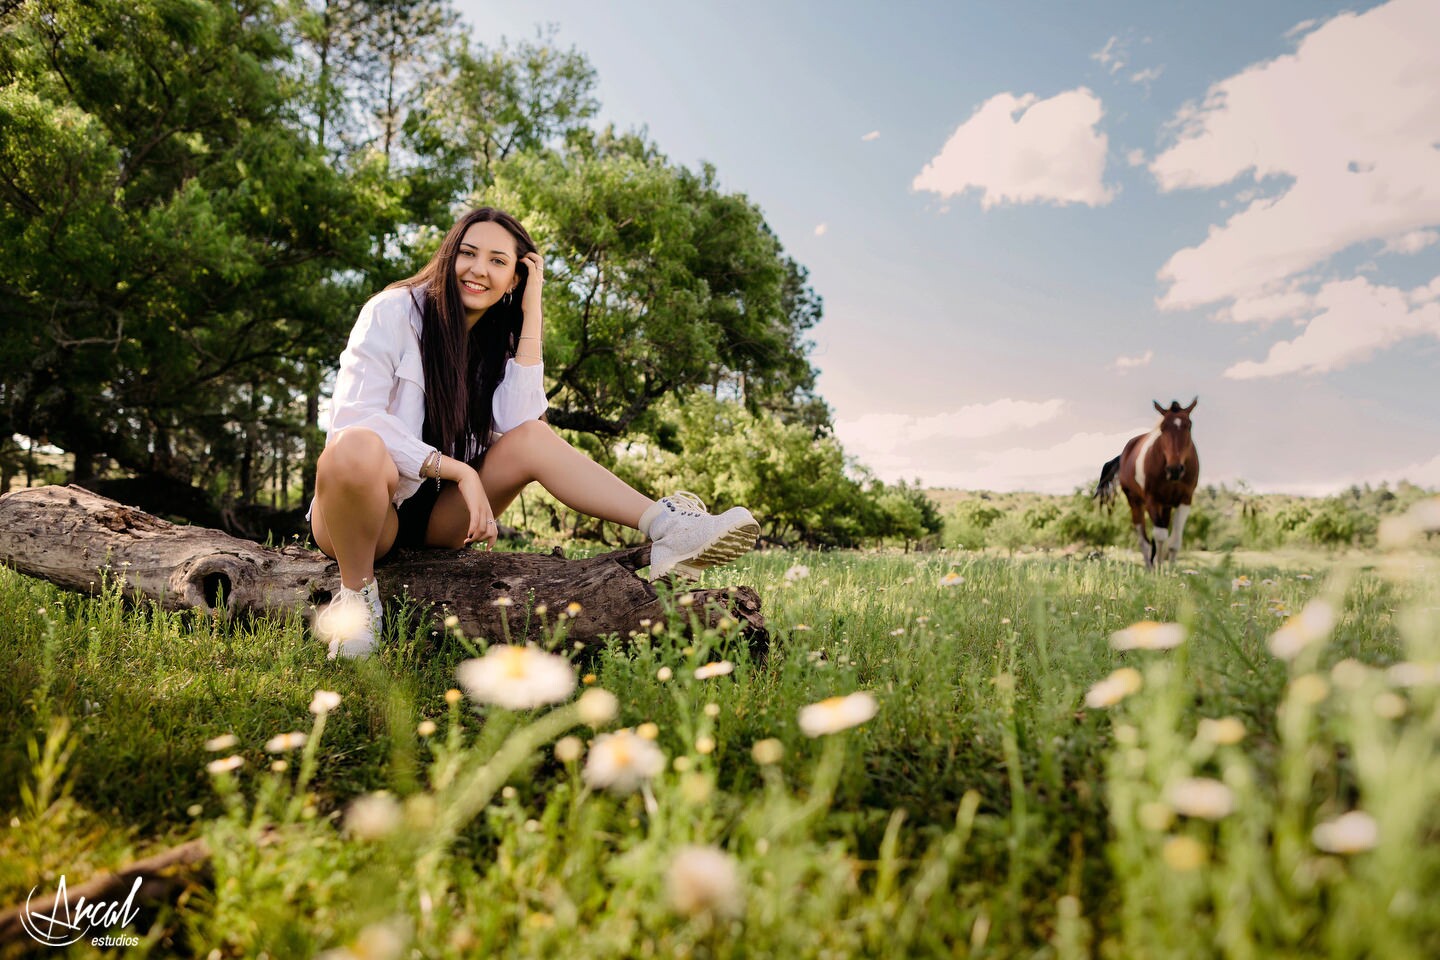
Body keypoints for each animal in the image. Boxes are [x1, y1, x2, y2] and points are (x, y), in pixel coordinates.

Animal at [1094, 400, 1198, 569]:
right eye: (1162, 428)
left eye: (1189, 426)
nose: (1175, 469)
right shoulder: (1151, 500)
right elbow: (1160, 536)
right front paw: (1158, 571)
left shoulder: (1185, 499)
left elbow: (1174, 541)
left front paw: (1170, 571)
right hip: (1135, 502)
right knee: (1144, 541)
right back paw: (1150, 567)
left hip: (1165, 505)